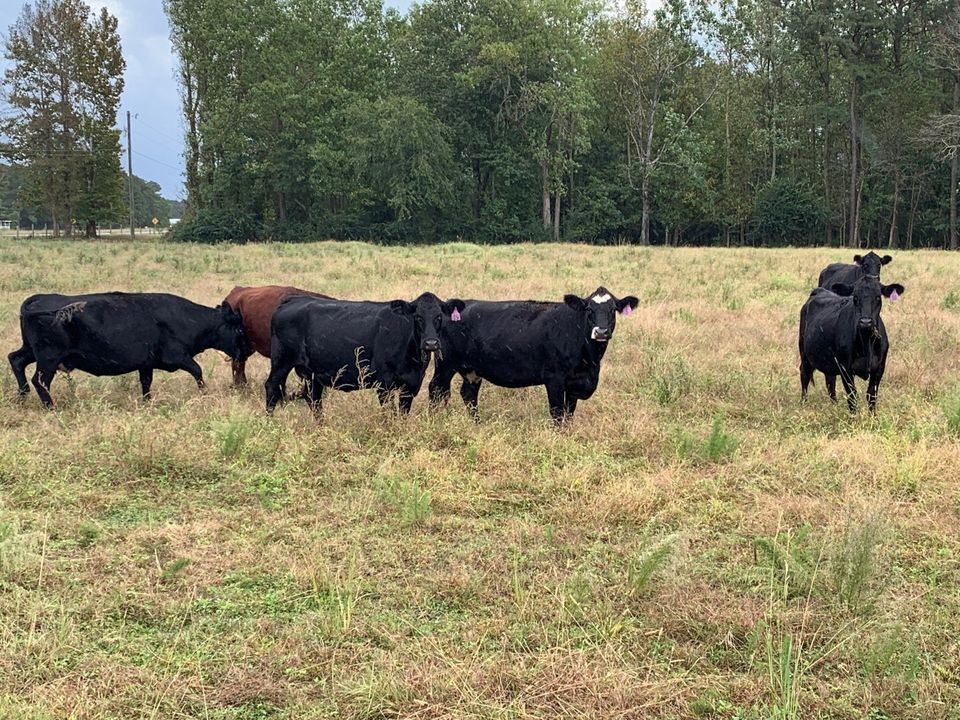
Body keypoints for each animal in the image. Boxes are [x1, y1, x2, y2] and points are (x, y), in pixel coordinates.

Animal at [8, 292, 249, 407]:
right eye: (239, 329)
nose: (244, 351)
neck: (187, 319)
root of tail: (37, 299)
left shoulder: (147, 363)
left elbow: (146, 383)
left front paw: (147, 402)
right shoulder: (177, 356)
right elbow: (197, 370)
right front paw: (204, 393)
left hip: (31, 350)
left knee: (15, 360)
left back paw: (21, 395)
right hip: (48, 357)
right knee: (40, 380)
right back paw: (50, 406)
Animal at [265, 292, 466, 417]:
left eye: (439, 317)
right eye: (418, 317)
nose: (431, 343)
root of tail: (292, 300)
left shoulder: (411, 384)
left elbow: (403, 413)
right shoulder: (384, 384)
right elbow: (388, 413)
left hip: (311, 372)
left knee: (313, 397)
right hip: (281, 362)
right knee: (272, 388)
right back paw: (270, 422)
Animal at [428, 287, 639, 424]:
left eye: (613, 309)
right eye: (589, 309)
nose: (601, 332)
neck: (590, 363)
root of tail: (447, 308)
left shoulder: (574, 384)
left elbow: (569, 413)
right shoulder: (554, 378)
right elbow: (557, 413)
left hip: (472, 369)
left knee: (468, 394)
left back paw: (478, 424)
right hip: (445, 364)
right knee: (436, 389)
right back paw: (434, 422)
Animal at [799, 276, 905, 412]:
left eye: (877, 297)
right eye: (855, 297)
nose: (865, 321)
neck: (866, 342)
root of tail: (819, 290)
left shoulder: (880, 367)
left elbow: (872, 395)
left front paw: (873, 417)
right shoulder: (845, 368)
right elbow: (852, 396)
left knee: (830, 381)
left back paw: (834, 406)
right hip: (804, 353)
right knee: (805, 375)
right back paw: (803, 404)